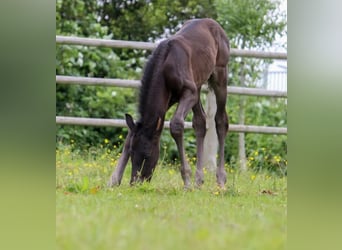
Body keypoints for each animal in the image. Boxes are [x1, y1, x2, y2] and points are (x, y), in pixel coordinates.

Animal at [107, 18, 230, 188]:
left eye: (147, 154)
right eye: (131, 152)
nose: (136, 183)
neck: (166, 64)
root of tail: (214, 24)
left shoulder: (189, 92)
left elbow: (176, 124)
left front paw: (186, 182)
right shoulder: (170, 99)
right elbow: (130, 134)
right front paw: (113, 180)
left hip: (220, 73)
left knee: (221, 120)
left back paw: (220, 180)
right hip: (198, 85)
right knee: (200, 122)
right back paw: (199, 181)